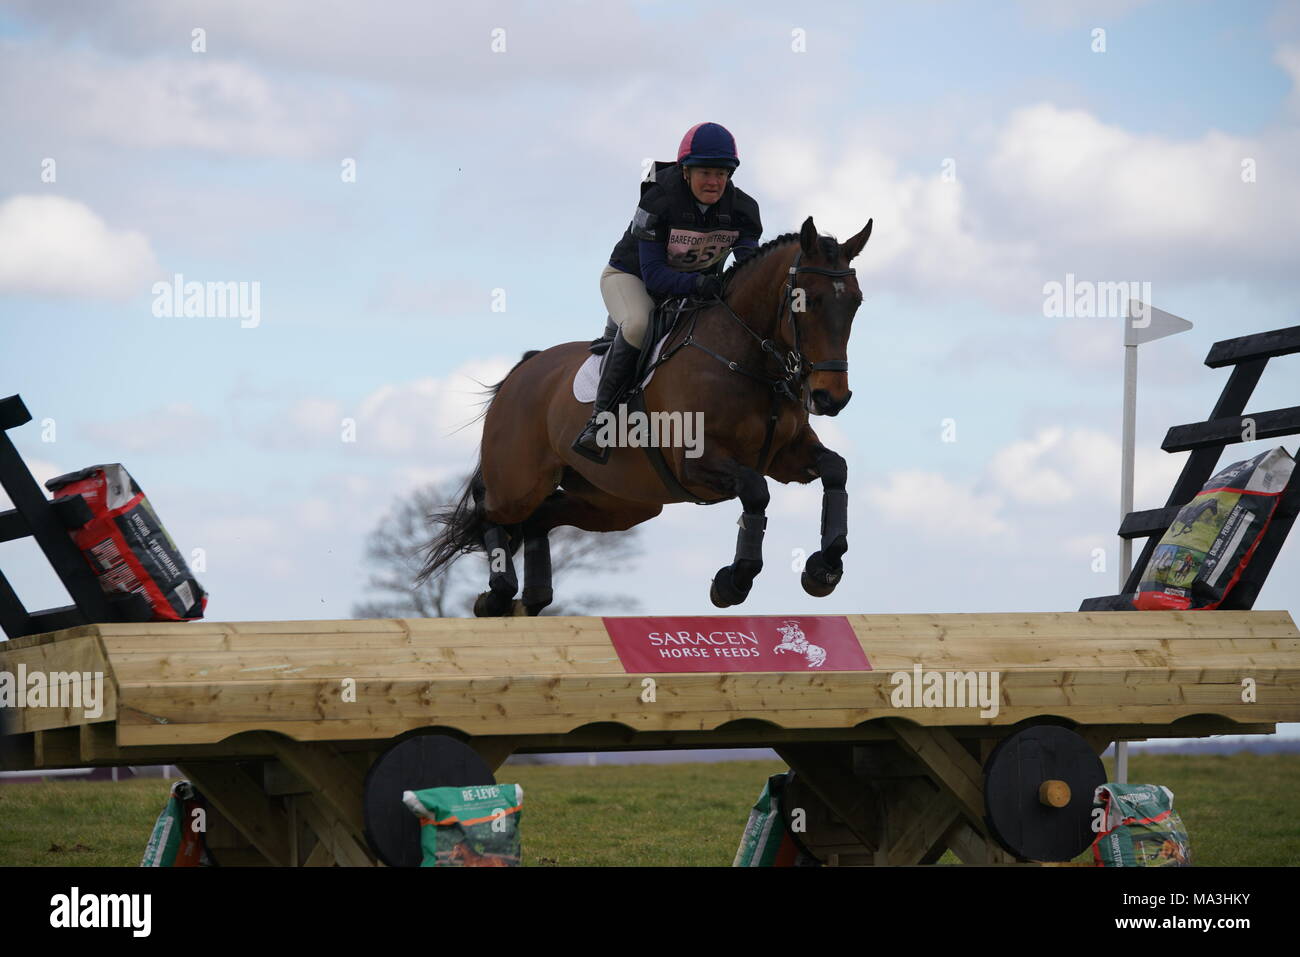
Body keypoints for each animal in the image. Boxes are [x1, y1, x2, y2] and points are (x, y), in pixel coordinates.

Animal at [418, 214, 873, 621]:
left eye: (855, 303)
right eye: (806, 301)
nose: (830, 397)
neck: (748, 360)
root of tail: (524, 368)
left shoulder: (785, 457)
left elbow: (835, 469)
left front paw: (824, 568)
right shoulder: (697, 463)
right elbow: (756, 491)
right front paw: (733, 582)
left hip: (616, 503)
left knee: (539, 519)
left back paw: (532, 599)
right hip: (520, 483)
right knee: (490, 510)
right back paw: (497, 596)